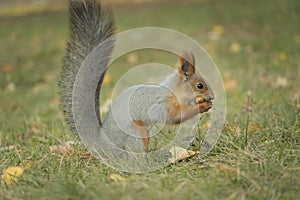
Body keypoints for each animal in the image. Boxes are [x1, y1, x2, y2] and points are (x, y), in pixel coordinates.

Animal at [58, 0, 213, 154]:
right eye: (200, 85)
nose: (212, 97)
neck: (173, 91)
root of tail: (102, 144)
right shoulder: (164, 103)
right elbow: (175, 117)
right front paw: (203, 106)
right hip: (136, 130)